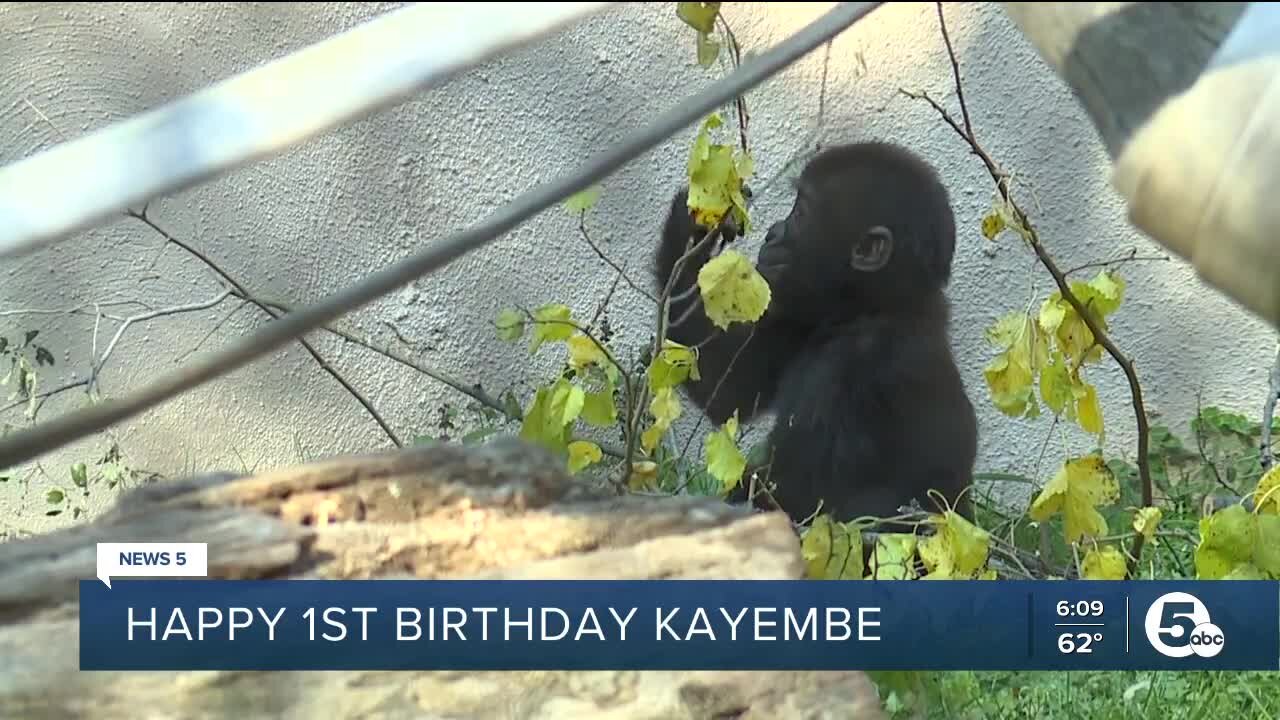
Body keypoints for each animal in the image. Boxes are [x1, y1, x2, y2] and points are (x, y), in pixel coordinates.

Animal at [652, 141, 978, 530]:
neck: (866, 309)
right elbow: (727, 386)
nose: (773, 232)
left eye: (801, 212)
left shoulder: (855, 362)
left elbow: (798, 493)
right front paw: (693, 227)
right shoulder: (800, 315)